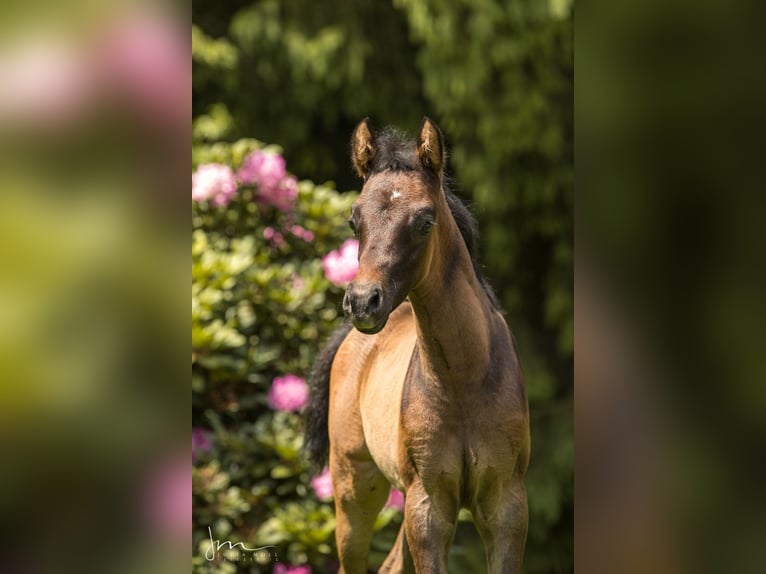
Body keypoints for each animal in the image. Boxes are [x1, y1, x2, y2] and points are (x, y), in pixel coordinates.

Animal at [304, 118, 532, 574]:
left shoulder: (507, 505)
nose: (362, 302)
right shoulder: (429, 506)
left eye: (425, 222)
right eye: (354, 221)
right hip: (356, 489)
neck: (465, 380)